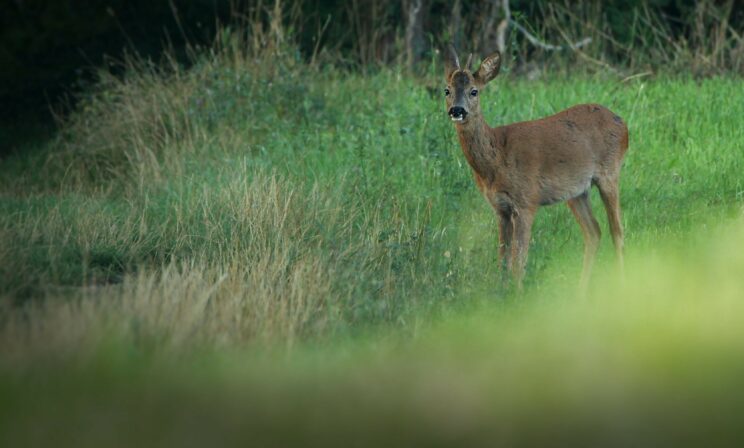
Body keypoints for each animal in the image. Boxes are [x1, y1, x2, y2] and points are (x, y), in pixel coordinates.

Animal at [444, 46, 632, 290]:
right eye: (446, 90)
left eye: (474, 91)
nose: (457, 110)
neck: (497, 158)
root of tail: (624, 125)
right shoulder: (500, 208)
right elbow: (503, 259)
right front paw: (501, 292)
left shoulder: (526, 201)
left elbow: (519, 261)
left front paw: (518, 294)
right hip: (577, 191)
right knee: (594, 232)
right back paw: (581, 291)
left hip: (610, 173)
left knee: (617, 231)